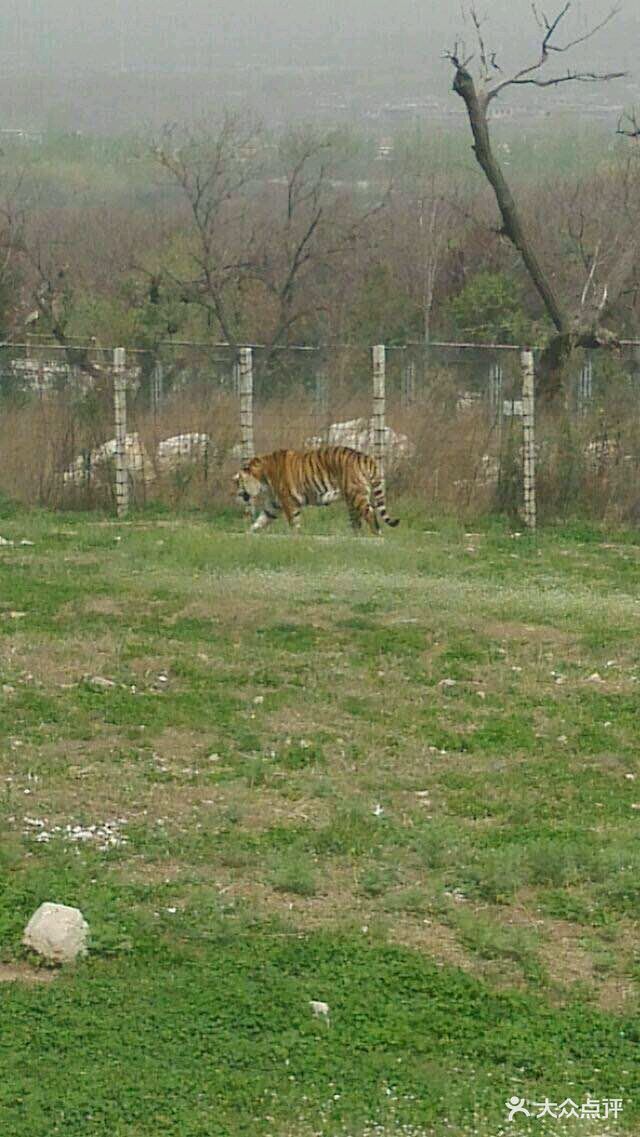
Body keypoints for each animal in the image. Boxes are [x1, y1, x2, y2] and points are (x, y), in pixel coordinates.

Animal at [230, 445, 400, 534]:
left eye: (238, 482)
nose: (236, 494)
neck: (263, 479)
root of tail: (365, 457)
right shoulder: (273, 505)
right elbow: (260, 521)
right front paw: (248, 534)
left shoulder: (288, 502)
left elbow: (294, 522)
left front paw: (296, 536)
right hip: (352, 500)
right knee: (357, 521)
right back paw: (354, 537)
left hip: (357, 496)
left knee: (370, 513)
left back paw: (375, 535)